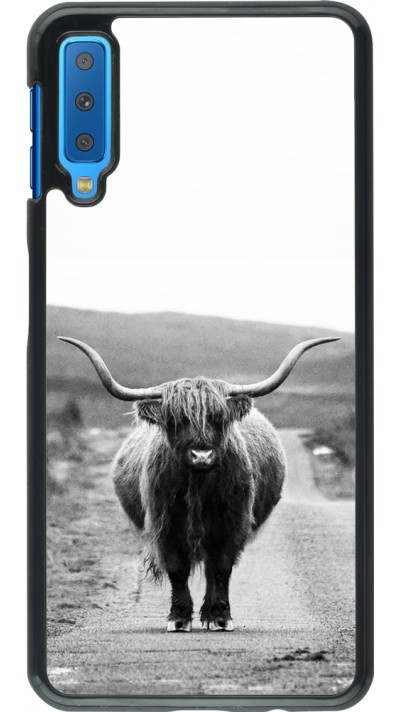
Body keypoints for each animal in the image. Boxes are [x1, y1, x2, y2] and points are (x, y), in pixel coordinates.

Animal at [59, 335, 338, 632]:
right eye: (176, 420)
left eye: (218, 418)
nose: (201, 455)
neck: (198, 485)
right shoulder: (165, 525)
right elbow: (177, 569)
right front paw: (179, 617)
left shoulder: (233, 524)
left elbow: (221, 568)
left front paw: (220, 616)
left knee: (211, 568)